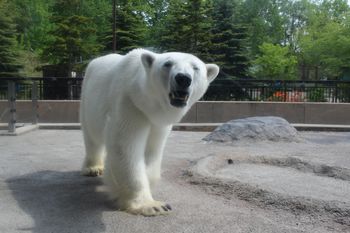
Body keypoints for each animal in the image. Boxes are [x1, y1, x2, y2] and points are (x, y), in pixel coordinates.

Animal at [79, 49, 219, 217]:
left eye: (196, 67)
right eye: (167, 64)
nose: (183, 78)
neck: (148, 104)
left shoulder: (158, 122)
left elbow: (152, 150)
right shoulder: (130, 104)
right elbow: (125, 147)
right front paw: (153, 206)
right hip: (87, 99)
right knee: (91, 137)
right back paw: (93, 168)